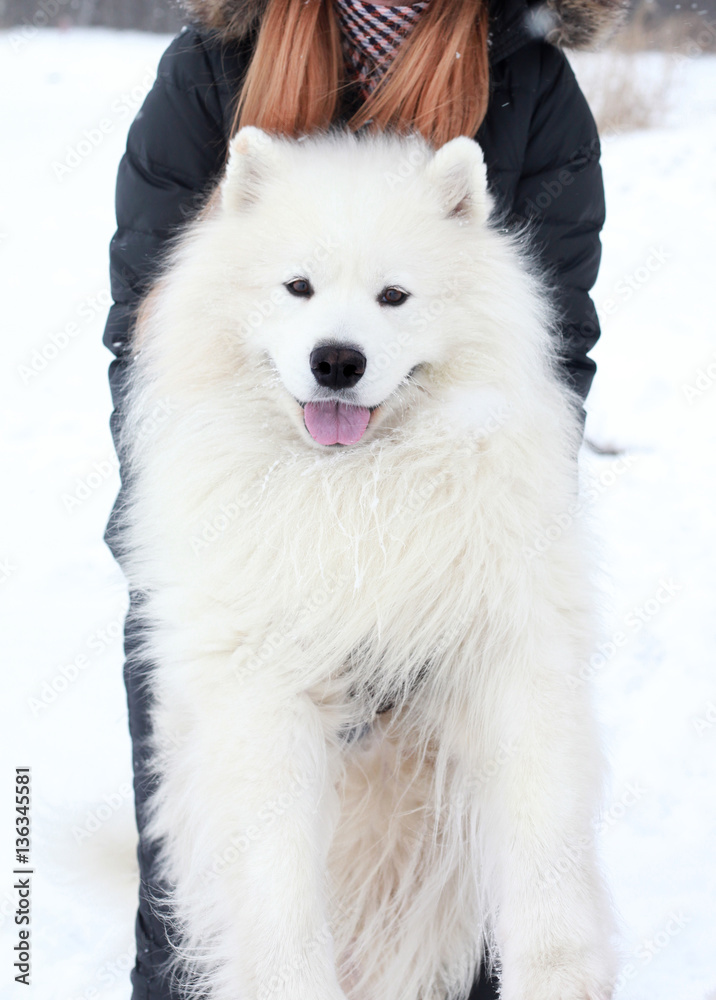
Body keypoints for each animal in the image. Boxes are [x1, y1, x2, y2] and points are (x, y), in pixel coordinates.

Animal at [120, 129, 620, 1000]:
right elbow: (281, 887)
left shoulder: (512, 653)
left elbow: (541, 840)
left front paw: (560, 977)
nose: (337, 361)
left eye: (395, 296)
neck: (356, 488)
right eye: (298, 287)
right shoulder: (260, 690)